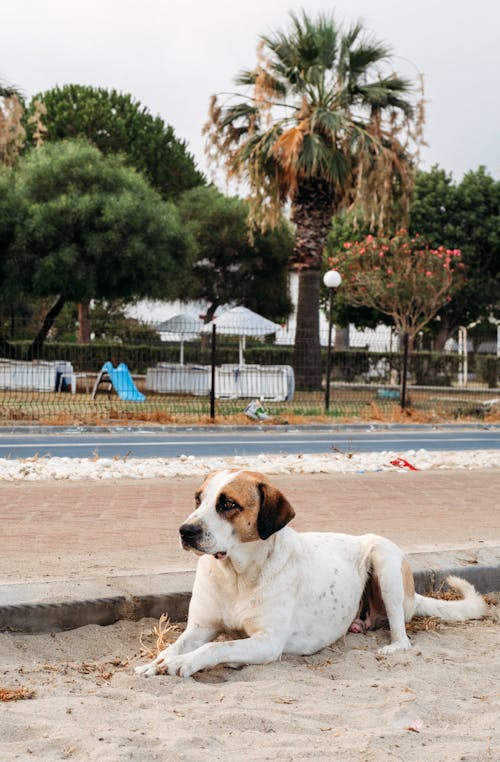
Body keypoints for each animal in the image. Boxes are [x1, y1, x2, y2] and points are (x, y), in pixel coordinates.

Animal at [135, 470, 486, 676]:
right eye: (198, 499)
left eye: (229, 504)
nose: (185, 531)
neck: (237, 574)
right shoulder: (200, 628)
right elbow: (176, 645)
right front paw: (158, 661)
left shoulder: (268, 642)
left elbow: (216, 647)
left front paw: (184, 663)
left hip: (384, 558)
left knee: (402, 635)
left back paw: (393, 645)